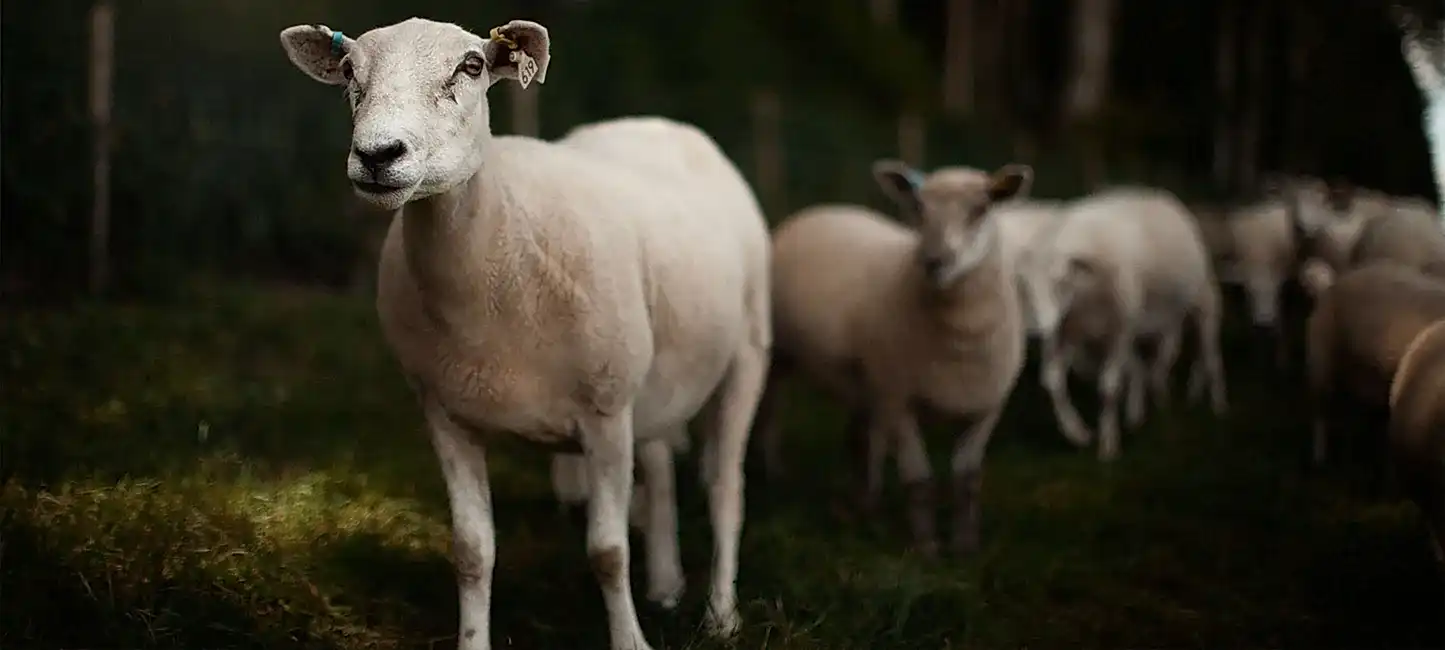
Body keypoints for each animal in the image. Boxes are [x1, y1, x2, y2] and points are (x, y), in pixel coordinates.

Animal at [279, 18, 771, 650]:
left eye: (471, 66)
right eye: (346, 71)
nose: (377, 154)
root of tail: (656, 122)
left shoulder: (606, 415)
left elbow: (608, 552)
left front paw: (630, 639)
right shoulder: (446, 414)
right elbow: (471, 551)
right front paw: (472, 639)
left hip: (747, 350)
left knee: (725, 487)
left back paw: (721, 614)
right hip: (653, 372)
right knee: (660, 462)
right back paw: (664, 583)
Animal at [753, 160, 1031, 557]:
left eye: (980, 209)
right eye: (918, 208)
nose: (934, 261)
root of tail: (822, 209)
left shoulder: (986, 408)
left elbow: (966, 481)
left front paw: (965, 547)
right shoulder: (899, 401)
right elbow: (919, 480)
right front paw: (927, 547)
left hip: (864, 379)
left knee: (859, 438)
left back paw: (864, 506)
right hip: (781, 356)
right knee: (771, 414)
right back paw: (775, 475)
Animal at [1014, 186, 1228, 461]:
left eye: (1060, 281)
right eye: (1024, 285)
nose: (1037, 330)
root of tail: (1159, 196)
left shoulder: (1119, 330)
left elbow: (1109, 386)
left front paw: (1108, 445)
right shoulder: (1068, 331)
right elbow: (1052, 381)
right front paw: (1077, 433)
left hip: (1203, 300)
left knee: (1208, 350)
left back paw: (1217, 404)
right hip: (1157, 317)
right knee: (1164, 352)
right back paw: (1154, 400)